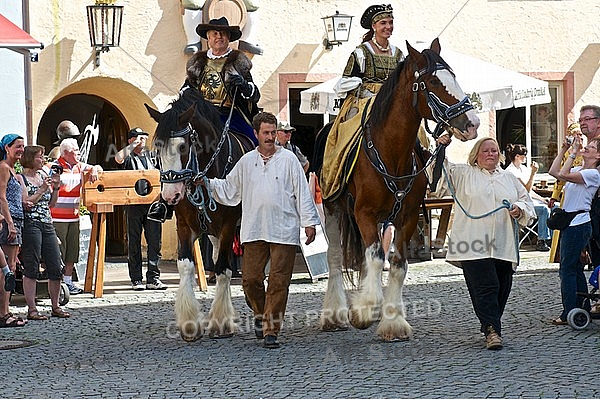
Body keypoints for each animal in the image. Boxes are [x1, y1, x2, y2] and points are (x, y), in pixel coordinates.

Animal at [146, 86, 253, 340]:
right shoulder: (185, 225)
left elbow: (224, 268)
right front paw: (190, 323)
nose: (170, 195)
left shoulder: (228, 226)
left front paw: (221, 322)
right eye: (158, 148)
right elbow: (186, 266)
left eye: (182, 147)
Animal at [322, 39, 480, 342]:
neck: (391, 152)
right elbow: (375, 257)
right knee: (335, 258)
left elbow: (396, 264)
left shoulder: (405, 218)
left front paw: (392, 321)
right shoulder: (364, 213)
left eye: (453, 76)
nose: (472, 124)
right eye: (433, 81)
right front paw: (366, 310)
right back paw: (334, 314)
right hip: (332, 209)